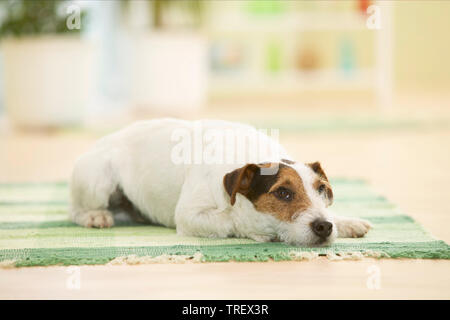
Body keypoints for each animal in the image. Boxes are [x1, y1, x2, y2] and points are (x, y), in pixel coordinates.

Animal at [70, 119, 370, 246]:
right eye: (283, 193)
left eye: (322, 190)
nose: (324, 227)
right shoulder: (190, 215)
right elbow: (232, 221)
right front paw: (257, 230)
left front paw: (345, 222)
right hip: (97, 180)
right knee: (76, 211)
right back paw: (95, 216)